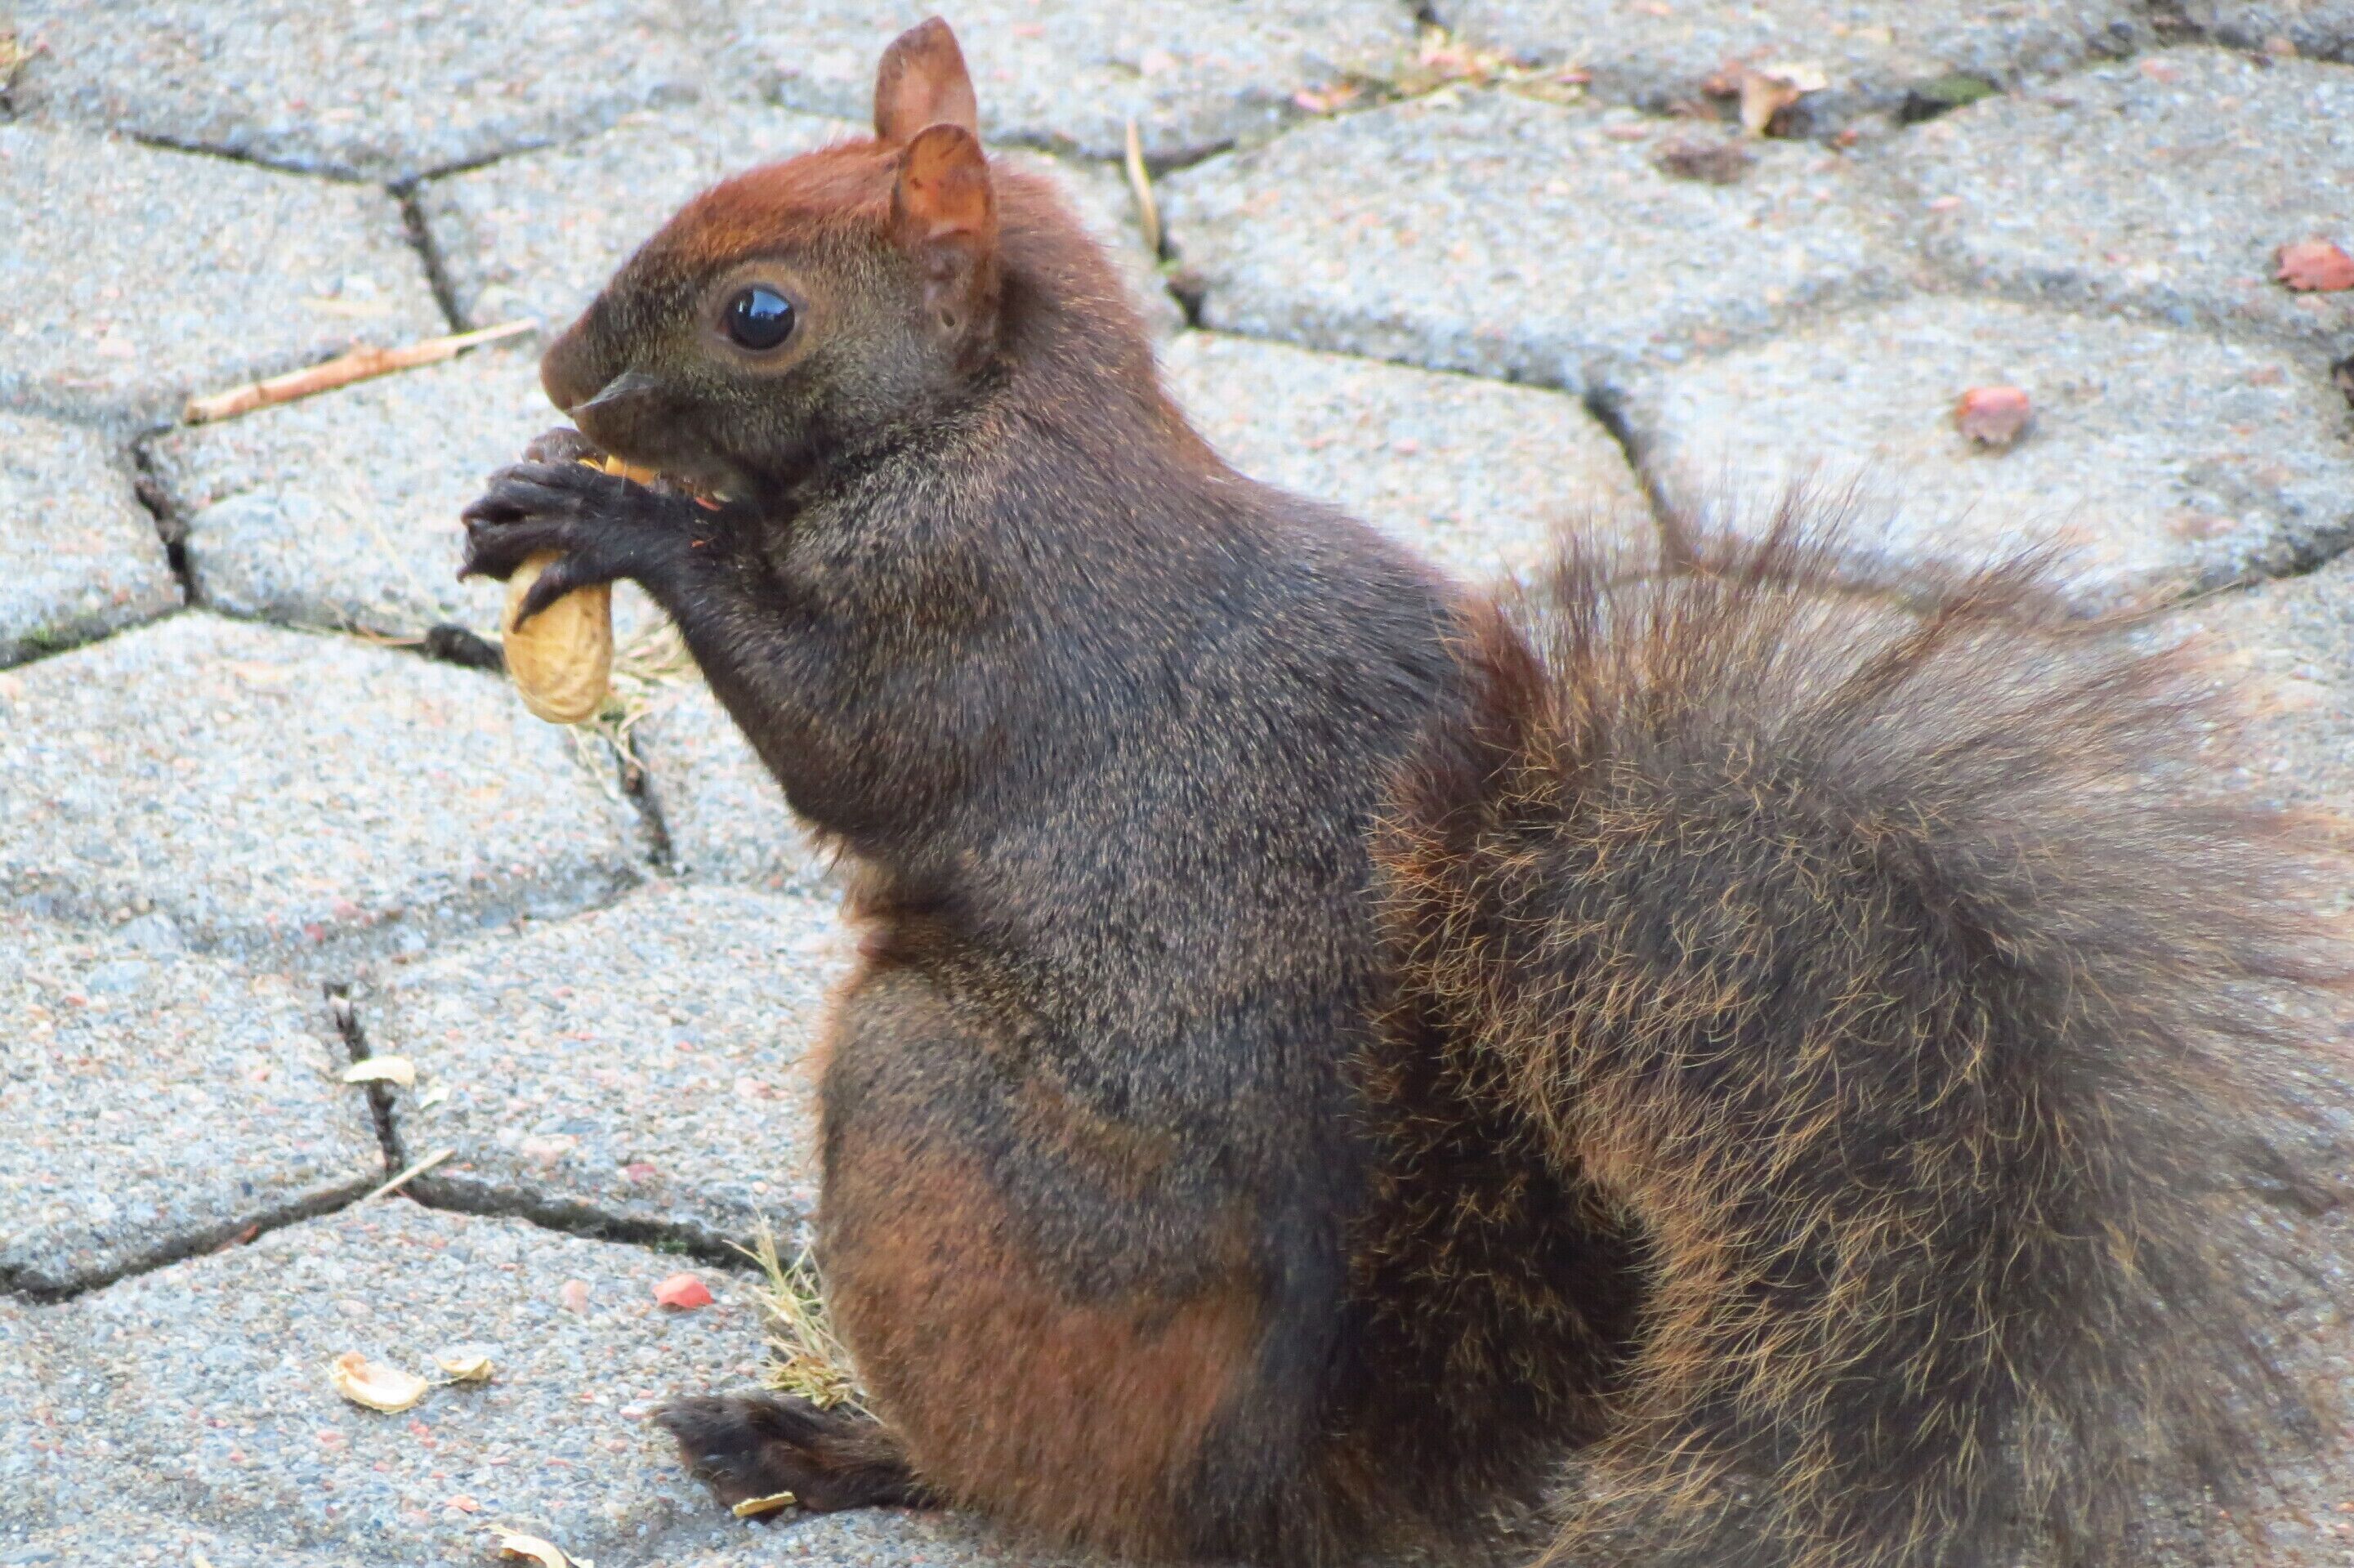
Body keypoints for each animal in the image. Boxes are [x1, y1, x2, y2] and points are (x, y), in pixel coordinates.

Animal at [459, 18, 2346, 1568]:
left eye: (759, 313)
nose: (553, 371)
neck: (988, 413)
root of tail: (1284, 1485)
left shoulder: (987, 604)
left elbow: (849, 733)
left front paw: (615, 518)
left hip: (927, 1116)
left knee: (1032, 1480)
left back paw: (832, 1440)